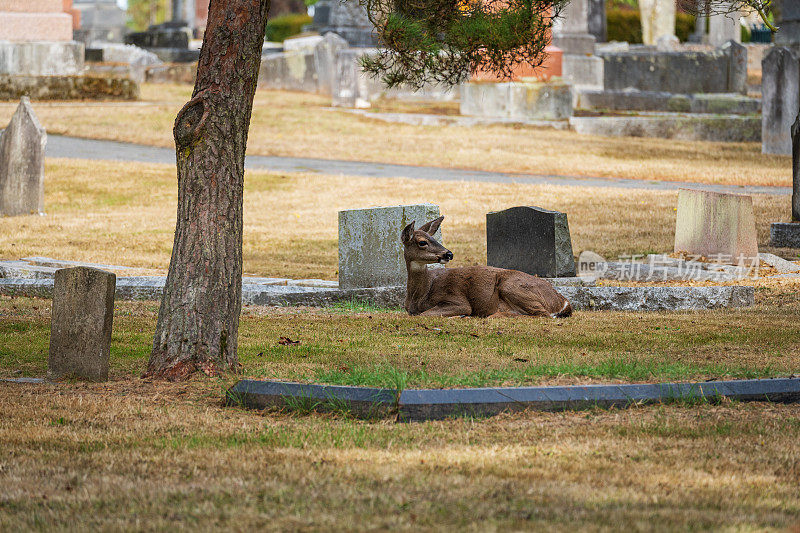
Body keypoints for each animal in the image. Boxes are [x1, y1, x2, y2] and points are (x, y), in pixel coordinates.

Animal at [404, 215, 572, 318]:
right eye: (422, 242)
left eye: (434, 238)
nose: (449, 254)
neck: (420, 295)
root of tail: (563, 302)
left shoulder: (457, 300)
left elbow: (423, 314)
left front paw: (461, 315)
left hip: (512, 286)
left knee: (542, 314)